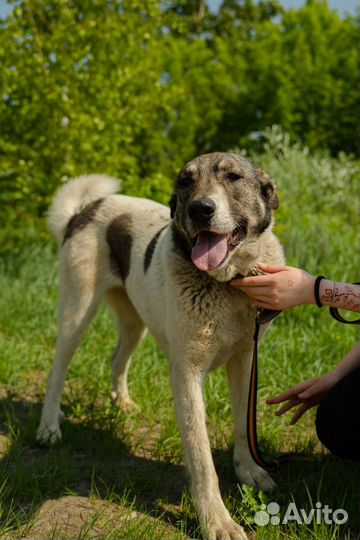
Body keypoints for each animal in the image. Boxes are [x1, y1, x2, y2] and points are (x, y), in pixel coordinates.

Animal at [36, 152, 284, 540]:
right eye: (185, 181)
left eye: (233, 176)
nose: (200, 209)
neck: (226, 285)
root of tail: (86, 209)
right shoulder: (186, 374)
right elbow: (202, 458)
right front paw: (217, 521)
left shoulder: (245, 361)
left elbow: (244, 426)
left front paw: (249, 473)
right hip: (77, 313)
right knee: (57, 371)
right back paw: (49, 428)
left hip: (135, 321)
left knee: (117, 360)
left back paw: (122, 404)